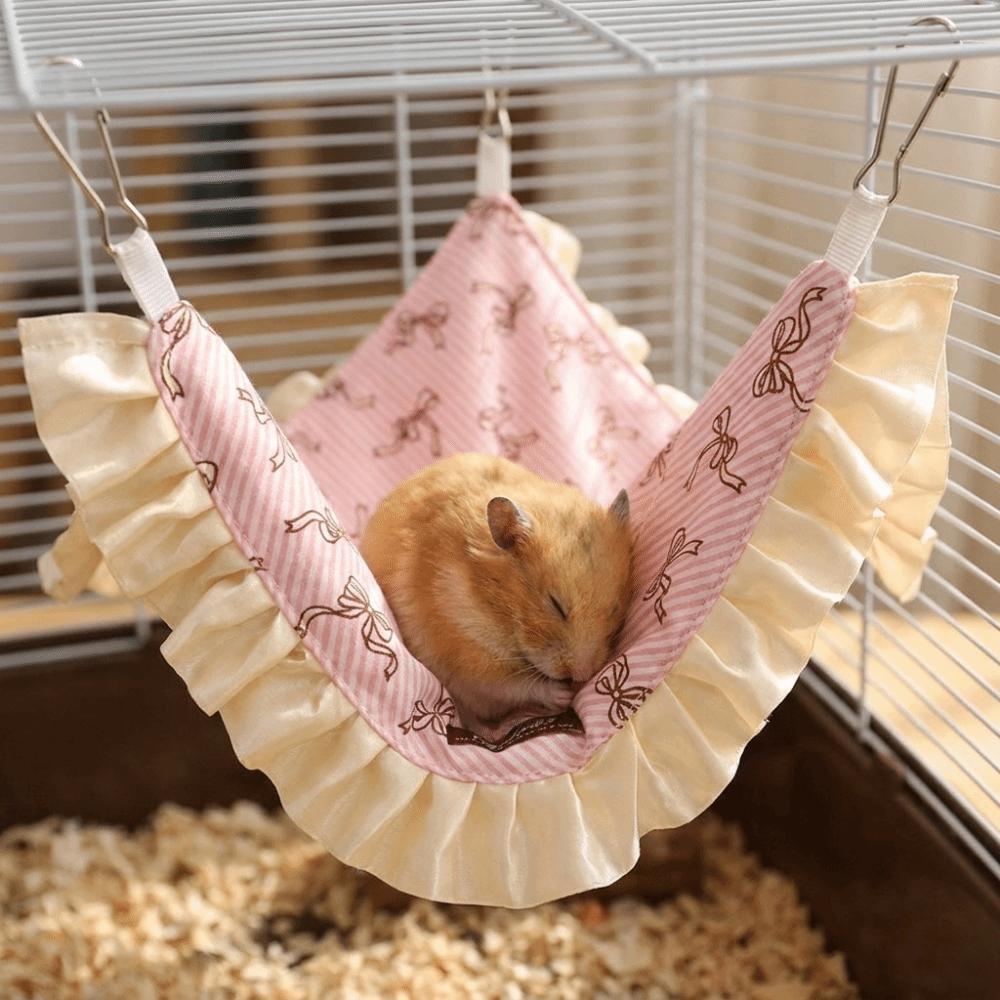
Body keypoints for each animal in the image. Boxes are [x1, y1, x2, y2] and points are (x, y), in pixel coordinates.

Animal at [360, 453, 633, 732]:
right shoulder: (468, 660)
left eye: (615, 609)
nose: (584, 675)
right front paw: (564, 696)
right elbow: (516, 686)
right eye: (556, 605)